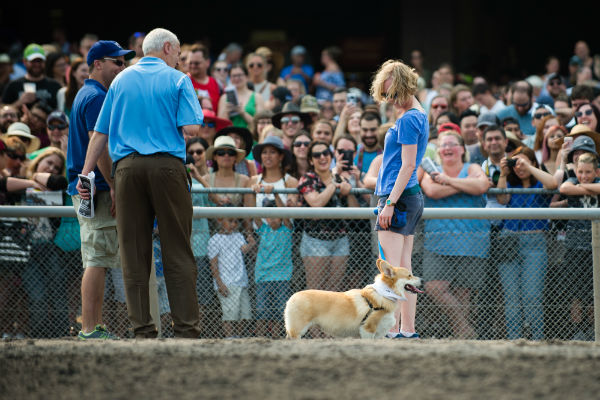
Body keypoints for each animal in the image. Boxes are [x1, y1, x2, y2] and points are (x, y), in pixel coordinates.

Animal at [284, 260, 422, 338]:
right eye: (409, 275)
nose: (422, 279)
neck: (384, 293)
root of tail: (292, 297)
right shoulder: (368, 330)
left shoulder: (378, 334)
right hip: (297, 331)